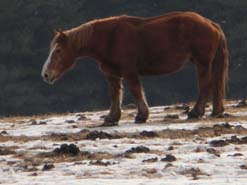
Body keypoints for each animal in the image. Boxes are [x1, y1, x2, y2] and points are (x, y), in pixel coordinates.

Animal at [41, 11, 229, 125]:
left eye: (58, 50)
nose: (46, 74)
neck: (109, 38)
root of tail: (211, 23)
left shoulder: (129, 72)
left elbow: (136, 91)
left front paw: (141, 115)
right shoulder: (112, 75)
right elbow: (115, 95)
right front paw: (112, 117)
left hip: (202, 63)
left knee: (205, 86)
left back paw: (196, 112)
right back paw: (216, 111)